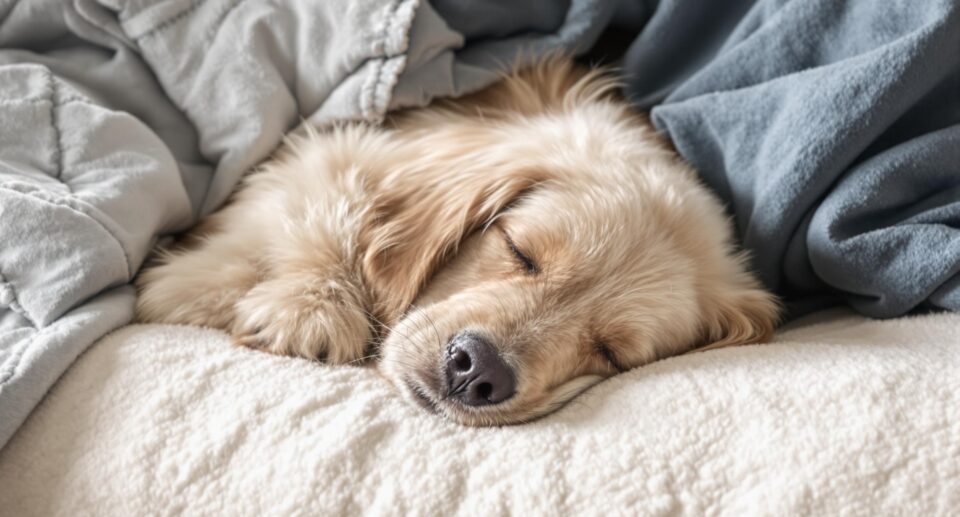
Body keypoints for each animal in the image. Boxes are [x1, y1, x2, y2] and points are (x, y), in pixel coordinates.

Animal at [135, 58, 780, 426]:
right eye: (519, 249)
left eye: (613, 353)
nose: (476, 372)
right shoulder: (338, 148)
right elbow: (327, 199)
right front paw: (309, 306)